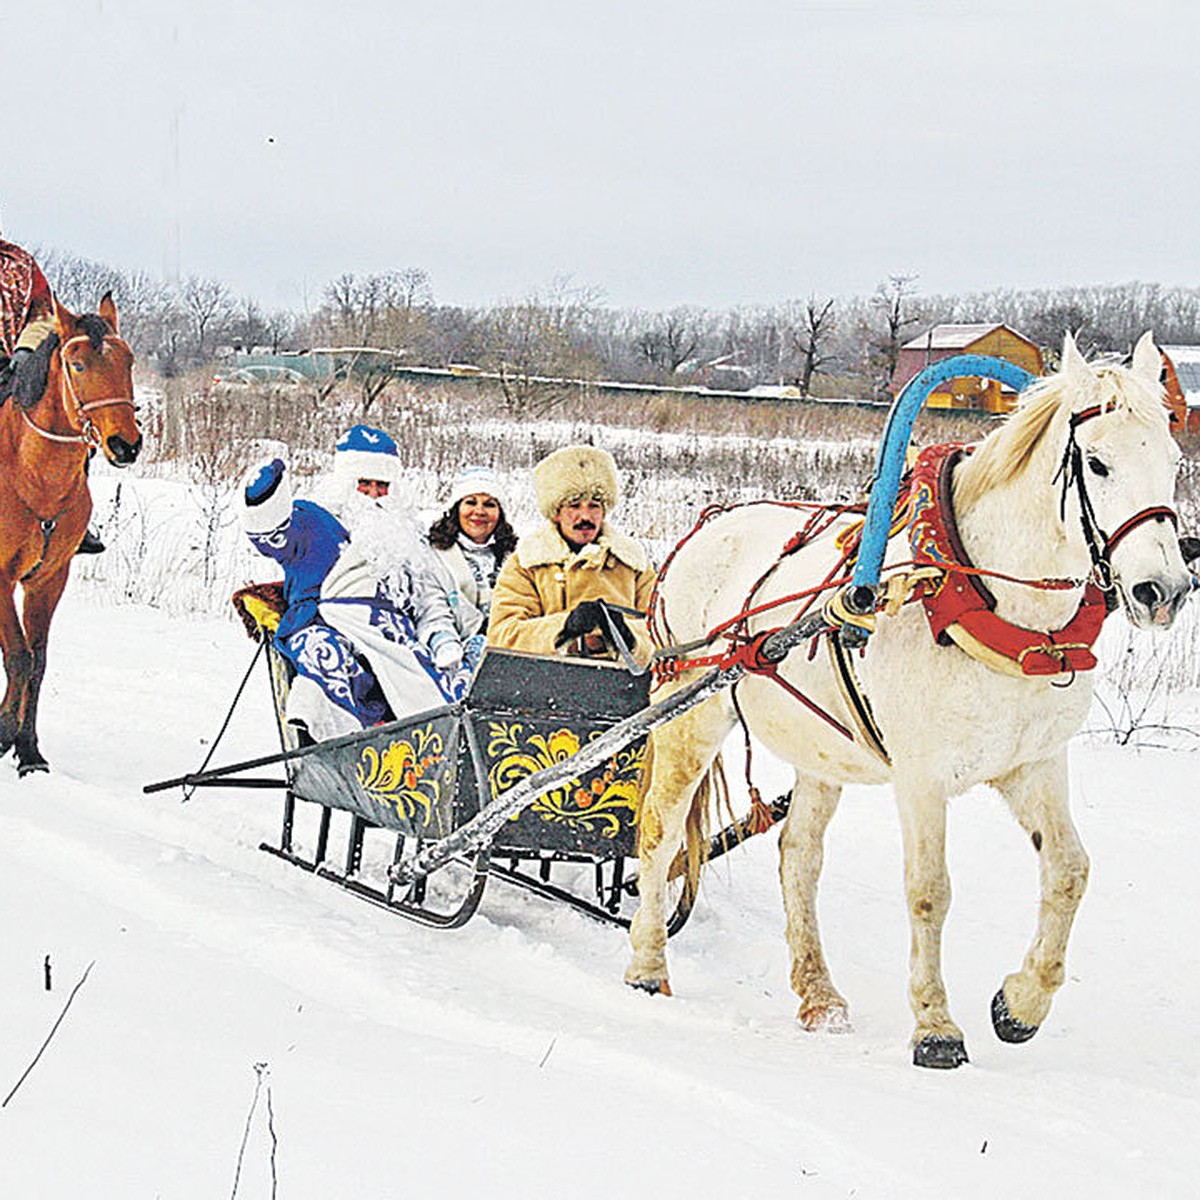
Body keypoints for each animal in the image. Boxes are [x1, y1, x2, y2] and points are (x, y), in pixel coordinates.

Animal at [0, 295, 140, 772]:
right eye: (77, 365)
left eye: (129, 361)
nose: (125, 445)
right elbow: (18, 656)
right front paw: (4, 733)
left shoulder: (49, 579)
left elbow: (37, 660)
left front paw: (27, 749)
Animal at [628, 331, 1190, 1070]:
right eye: (1097, 463)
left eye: (1175, 462)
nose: (1164, 591)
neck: (985, 599)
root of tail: (707, 529)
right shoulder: (922, 778)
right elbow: (930, 890)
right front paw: (935, 1027)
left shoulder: (1034, 764)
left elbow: (1070, 871)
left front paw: (1020, 1004)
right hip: (690, 712)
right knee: (660, 834)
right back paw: (646, 967)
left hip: (820, 748)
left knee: (798, 858)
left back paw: (820, 996)